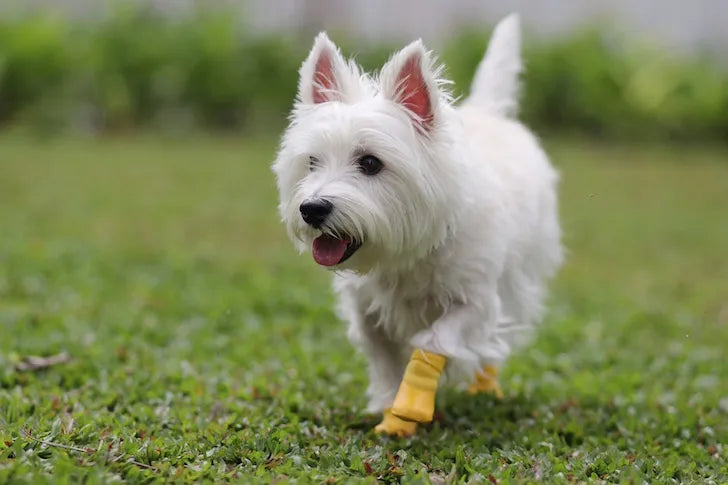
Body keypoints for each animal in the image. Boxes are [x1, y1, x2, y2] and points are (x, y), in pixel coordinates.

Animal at [272, 14, 564, 434]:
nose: (311, 209)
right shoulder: (366, 308)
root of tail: (489, 112)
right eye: (312, 162)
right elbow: (382, 354)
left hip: (519, 276)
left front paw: (410, 406)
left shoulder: (475, 300)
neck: (407, 252)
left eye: (371, 163)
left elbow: (434, 340)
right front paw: (388, 404)